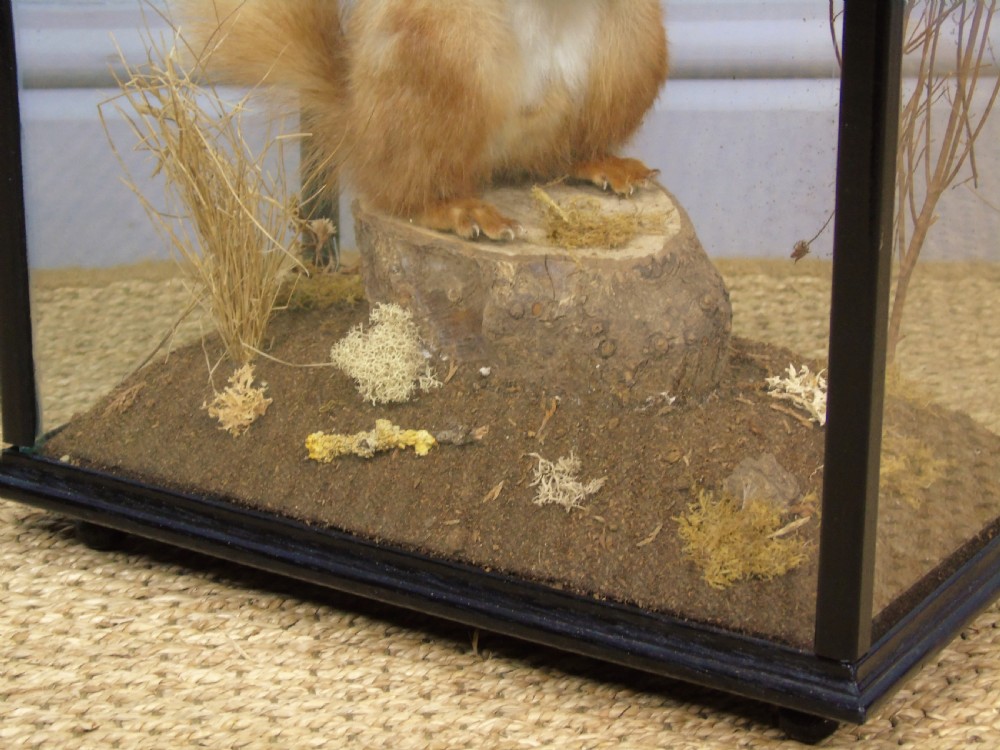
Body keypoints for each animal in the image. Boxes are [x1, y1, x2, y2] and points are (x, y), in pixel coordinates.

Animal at [175, 1, 668, 241]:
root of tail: (359, 129)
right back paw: (457, 209)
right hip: (445, 59)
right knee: (406, 189)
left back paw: (603, 163)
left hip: (631, 50)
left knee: (558, 157)